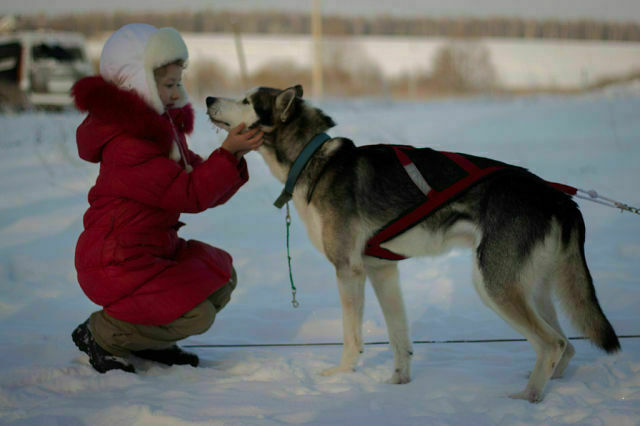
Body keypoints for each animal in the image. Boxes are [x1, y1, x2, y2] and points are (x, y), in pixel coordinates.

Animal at [205, 85, 620, 402]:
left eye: (246, 100)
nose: (207, 97)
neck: (314, 160)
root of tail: (559, 198)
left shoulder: (348, 270)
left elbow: (351, 337)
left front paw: (341, 376)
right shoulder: (382, 269)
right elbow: (397, 335)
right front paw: (397, 382)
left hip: (493, 285)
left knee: (551, 344)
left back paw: (527, 399)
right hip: (532, 288)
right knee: (567, 343)